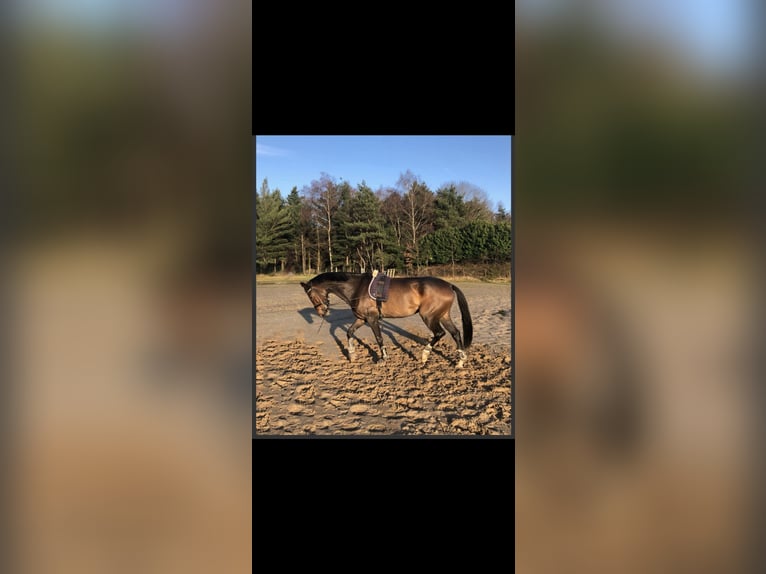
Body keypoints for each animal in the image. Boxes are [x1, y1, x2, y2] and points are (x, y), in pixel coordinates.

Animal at [300, 272, 473, 368]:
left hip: (429, 316)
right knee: (456, 333)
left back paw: (424, 355)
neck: (357, 288)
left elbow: (379, 338)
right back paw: (460, 362)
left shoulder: (372, 319)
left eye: (310, 295)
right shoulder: (361, 319)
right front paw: (352, 355)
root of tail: (449, 285)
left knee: (439, 333)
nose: (321, 312)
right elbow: (349, 332)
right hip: (443, 316)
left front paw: (383, 358)